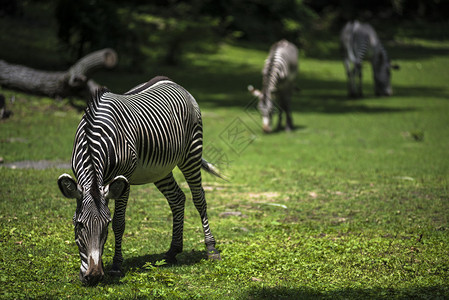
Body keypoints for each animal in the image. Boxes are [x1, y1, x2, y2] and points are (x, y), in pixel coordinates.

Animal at [57, 76, 222, 284]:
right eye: (78, 225)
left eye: (106, 225)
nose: (93, 276)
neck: (92, 137)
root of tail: (172, 81)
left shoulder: (123, 179)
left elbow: (120, 222)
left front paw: (116, 266)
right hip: (160, 169)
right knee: (177, 198)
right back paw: (172, 251)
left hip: (191, 152)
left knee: (199, 199)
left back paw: (211, 248)